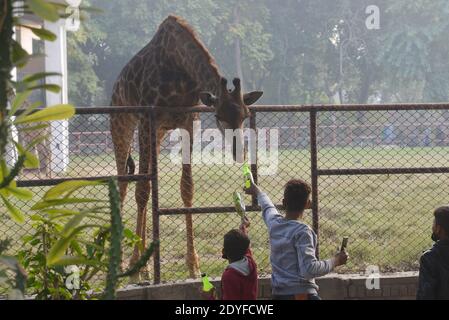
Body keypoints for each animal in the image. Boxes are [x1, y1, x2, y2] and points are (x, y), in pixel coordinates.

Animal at [109, 16, 262, 278]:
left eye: (246, 114)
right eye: (218, 116)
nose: (238, 152)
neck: (180, 69)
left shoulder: (189, 121)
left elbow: (186, 188)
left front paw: (193, 265)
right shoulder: (147, 118)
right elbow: (142, 190)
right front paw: (136, 265)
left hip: (158, 133)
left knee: (144, 178)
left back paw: (145, 261)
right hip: (122, 125)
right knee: (124, 183)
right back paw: (123, 262)